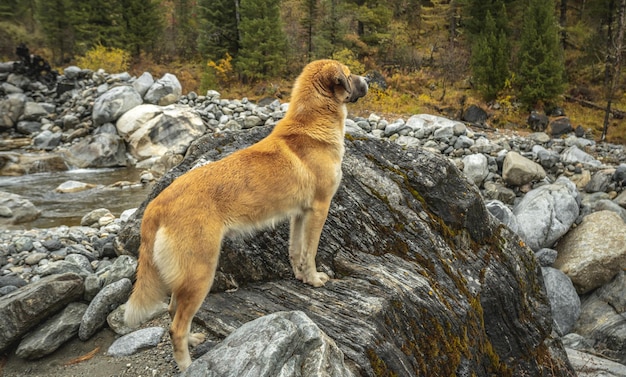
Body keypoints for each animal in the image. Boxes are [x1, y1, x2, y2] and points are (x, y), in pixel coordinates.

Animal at [122, 59, 366, 370]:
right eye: (349, 74)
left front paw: (301, 276)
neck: (311, 124)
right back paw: (188, 365)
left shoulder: (299, 214)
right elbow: (310, 251)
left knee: (173, 310)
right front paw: (313, 279)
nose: (368, 80)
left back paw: (193, 341)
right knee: (176, 326)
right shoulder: (319, 209)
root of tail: (157, 205)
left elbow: (296, 250)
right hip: (200, 272)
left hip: (186, 274)